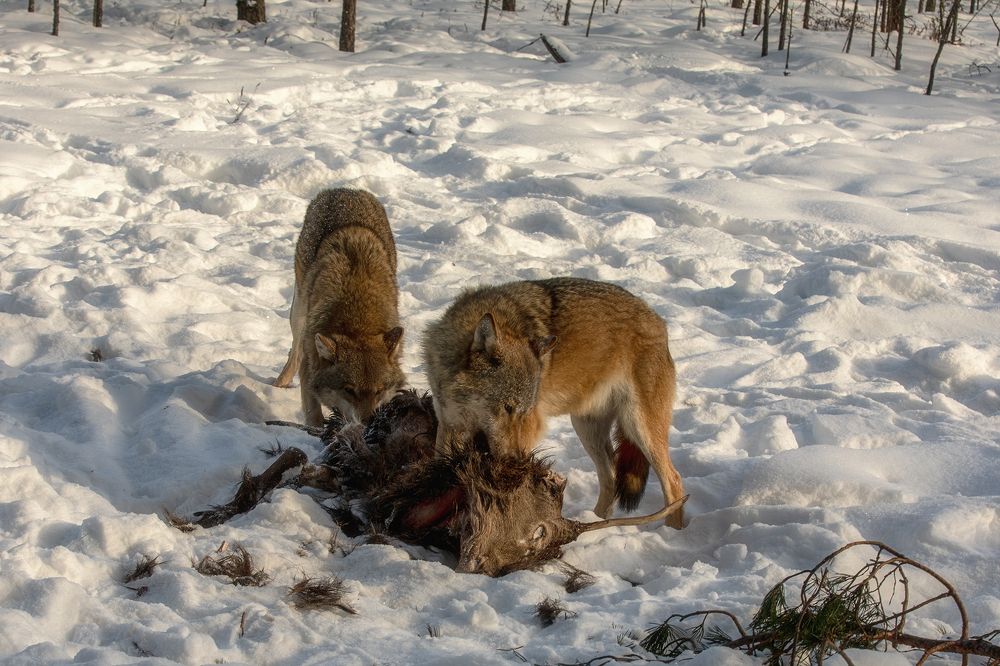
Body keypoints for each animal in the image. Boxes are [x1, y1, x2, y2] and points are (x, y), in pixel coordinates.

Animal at [274, 188, 405, 426]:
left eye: (379, 390)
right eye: (349, 390)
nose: (368, 424)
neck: (358, 317)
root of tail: (345, 189)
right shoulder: (310, 361)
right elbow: (313, 411)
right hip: (299, 314)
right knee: (294, 351)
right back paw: (279, 384)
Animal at [422, 277, 685, 528]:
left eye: (523, 412)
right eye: (507, 408)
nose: (518, 461)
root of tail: (657, 319)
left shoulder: (531, 427)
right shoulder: (450, 425)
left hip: (638, 427)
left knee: (674, 481)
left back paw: (672, 530)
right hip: (587, 428)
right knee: (610, 476)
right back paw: (597, 522)